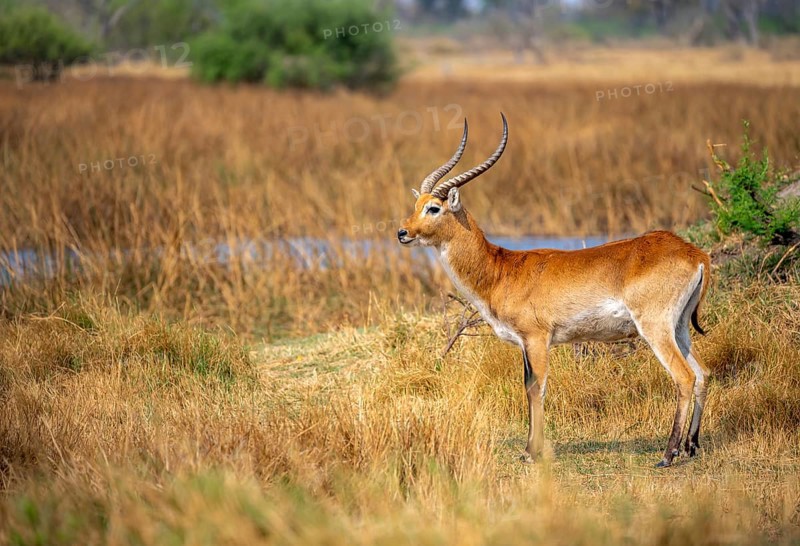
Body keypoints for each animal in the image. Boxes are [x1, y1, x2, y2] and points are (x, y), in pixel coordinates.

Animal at [397, 114, 711, 467]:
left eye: (433, 208)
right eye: (416, 204)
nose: (402, 232)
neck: (502, 270)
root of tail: (694, 253)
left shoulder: (537, 338)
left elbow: (537, 388)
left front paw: (532, 453)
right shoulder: (524, 343)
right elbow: (527, 386)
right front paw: (528, 449)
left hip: (655, 328)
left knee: (684, 377)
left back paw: (668, 455)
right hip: (680, 327)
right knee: (703, 373)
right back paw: (691, 446)